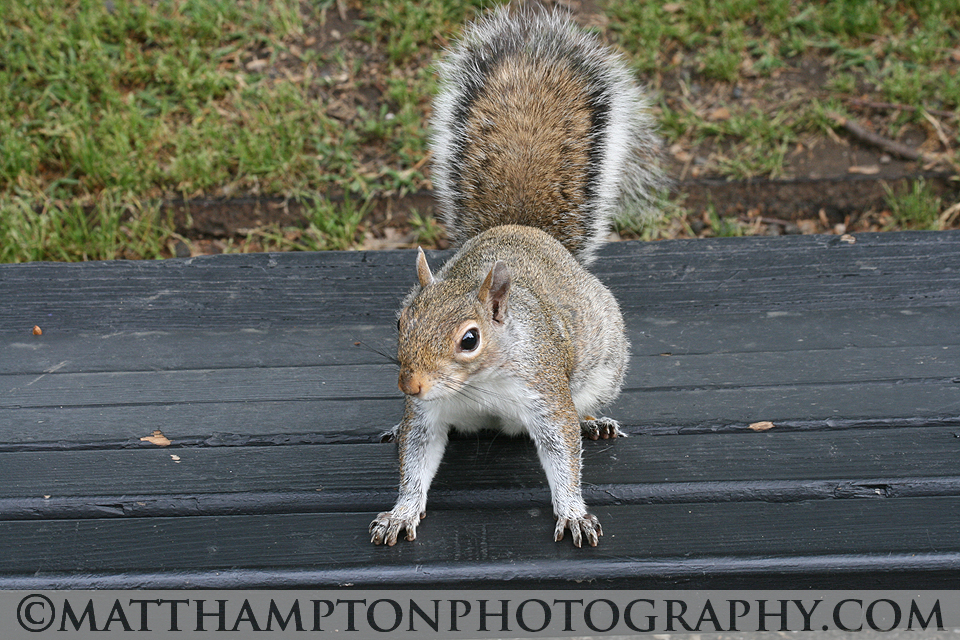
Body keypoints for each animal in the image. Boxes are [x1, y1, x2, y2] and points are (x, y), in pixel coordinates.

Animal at [369, 6, 664, 548]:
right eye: (401, 321)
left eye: (470, 339)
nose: (409, 385)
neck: (477, 386)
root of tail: (522, 227)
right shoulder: (429, 415)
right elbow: (416, 458)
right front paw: (401, 511)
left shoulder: (543, 391)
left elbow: (562, 453)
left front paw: (573, 512)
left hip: (605, 367)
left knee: (586, 408)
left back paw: (595, 422)